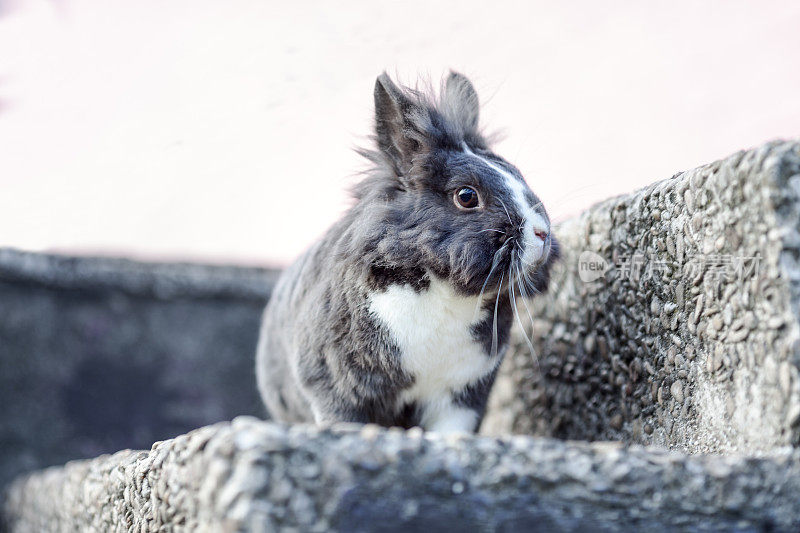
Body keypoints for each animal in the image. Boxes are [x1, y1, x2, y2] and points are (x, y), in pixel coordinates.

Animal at [256, 70, 556, 432]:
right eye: (466, 196)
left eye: (517, 174)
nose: (542, 232)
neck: (444, 291)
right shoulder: (333, 384)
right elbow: (342, 416)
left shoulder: (460, 397)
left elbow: (452, 428)